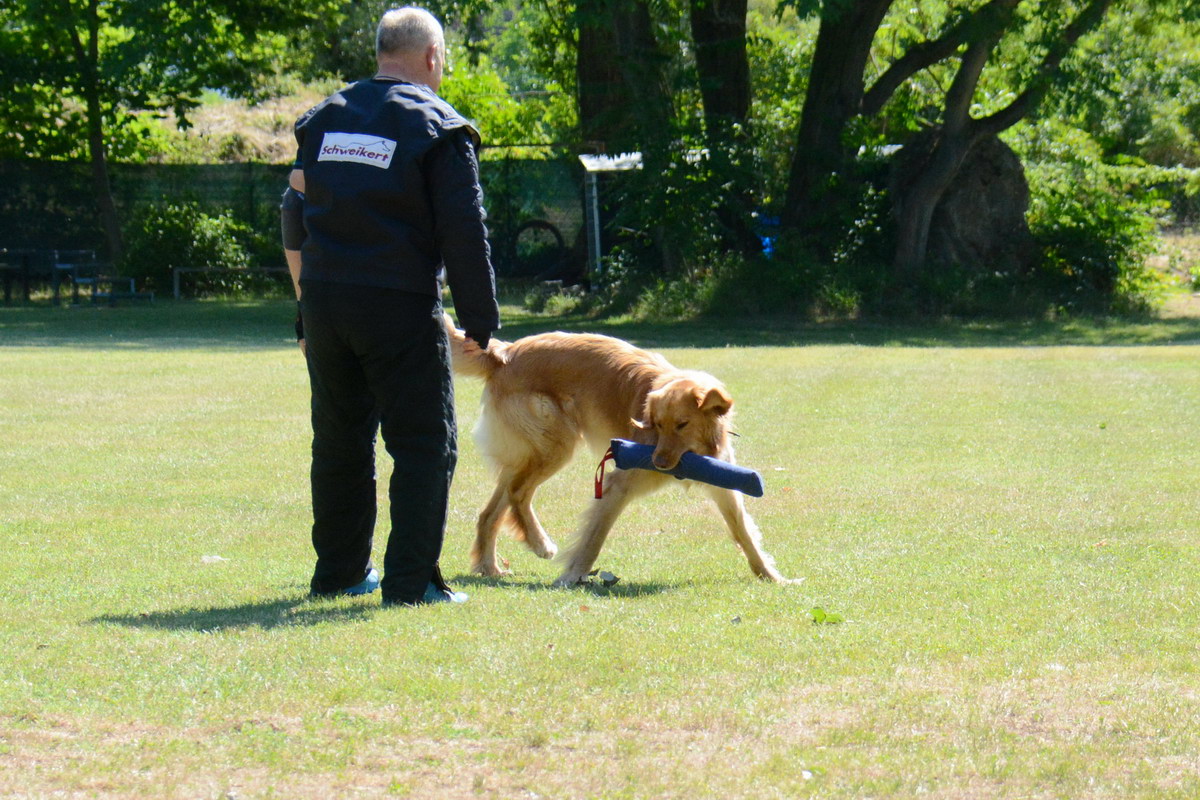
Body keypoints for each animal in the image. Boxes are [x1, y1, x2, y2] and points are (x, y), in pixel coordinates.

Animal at [446, 316, 792, 587]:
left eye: (682, 425)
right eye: (657, 424)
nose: (658, 463)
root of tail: (505, 352)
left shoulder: (724, 488)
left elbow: (744, 533)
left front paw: (772, 576)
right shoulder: (618, 484)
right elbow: (594, 538)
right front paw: (572, 576)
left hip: (526, 453)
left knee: (490, 512)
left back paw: (490, 567)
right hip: (554, 444)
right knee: (519, 493)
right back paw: (540, 543)